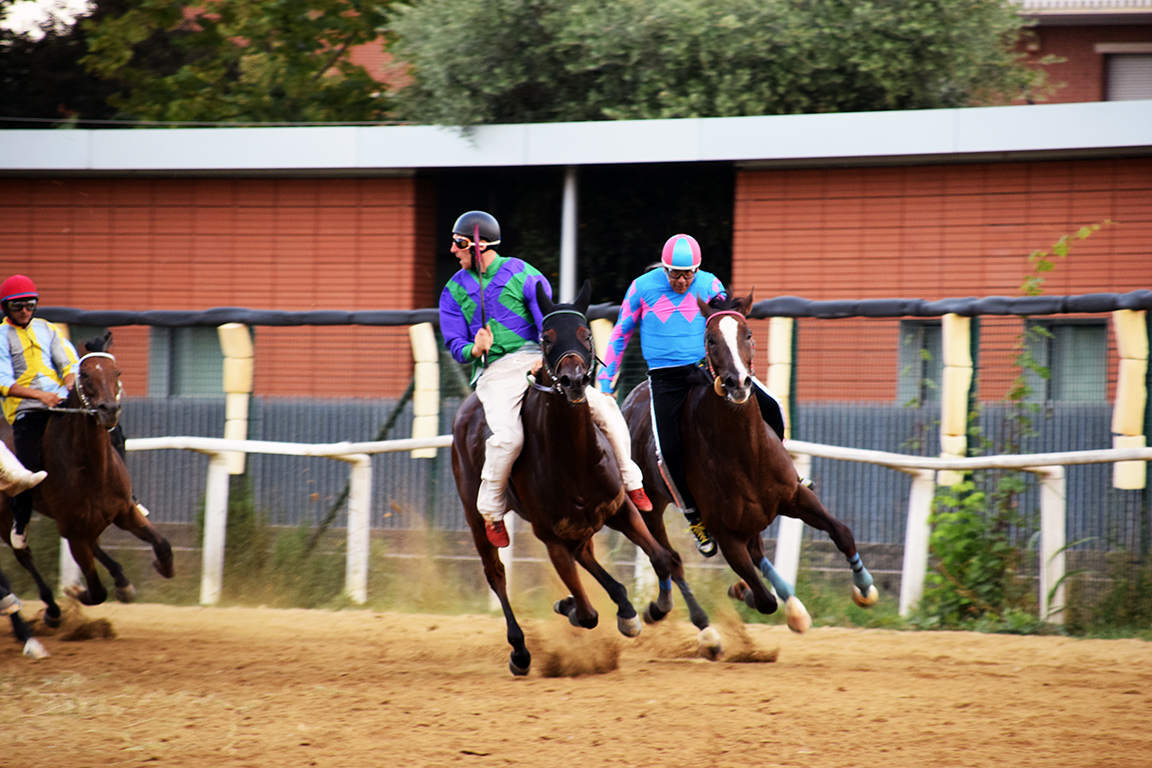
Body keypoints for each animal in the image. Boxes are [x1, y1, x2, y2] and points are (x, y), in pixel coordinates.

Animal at [1, 331, 172, 626]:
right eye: (85, 374)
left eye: (117, 371)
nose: (109, 410)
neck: (94, 472)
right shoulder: (73, 529)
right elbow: (97, 591)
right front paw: (76, 593)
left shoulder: (123, 511)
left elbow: (162, 544)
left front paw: (162, 567)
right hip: (4, 516)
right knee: (23, 553)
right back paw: (52, 609)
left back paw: (121, 579)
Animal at [446, 284, 681, 677]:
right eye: (547, 337)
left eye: (586, 334)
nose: (573, 380)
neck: (575, 458)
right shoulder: (551, 536)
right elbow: (587, 615)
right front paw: (569, 605)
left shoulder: (619, 508)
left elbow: (662, 558)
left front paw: (651, 608)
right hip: (473, 513)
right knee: (496, 572)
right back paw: (520, 650)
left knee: (585, 552)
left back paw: (623, 604)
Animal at [622, 290, 880, 644]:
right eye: (710, 338)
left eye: (748, 334)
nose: (738, 382)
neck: (745, 452)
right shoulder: (726, 535)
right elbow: (764, 600)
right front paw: (743, 591)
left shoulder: (795, 497)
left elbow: (842, 532)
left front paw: (864, 589)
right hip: (649, 506)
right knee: (670, 560)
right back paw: (673, 614)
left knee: (755, 551)